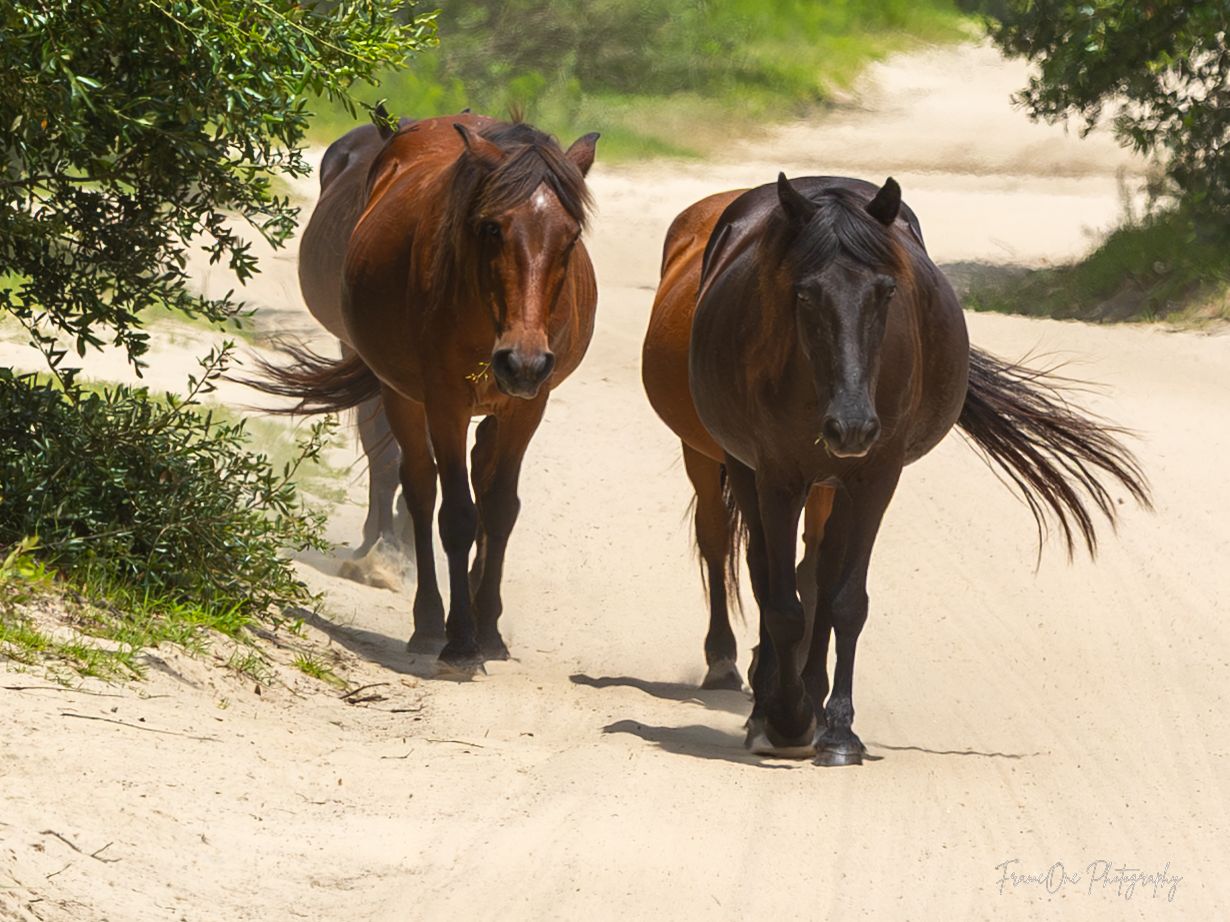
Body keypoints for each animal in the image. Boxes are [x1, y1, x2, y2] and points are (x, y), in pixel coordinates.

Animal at [250, 112, 600, 673]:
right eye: (491, 227)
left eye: (569, 239)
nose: (523, 361)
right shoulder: (444, 403)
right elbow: (455, 514)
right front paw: (460, 639)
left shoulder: (526, 407)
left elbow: (499, 509)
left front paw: (490, 629)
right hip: (401, 393)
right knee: (414, 482)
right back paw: (427, 618)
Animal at [687, 174, 1151, 764]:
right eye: (804, 293)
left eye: (886, 292)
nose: (852, 426)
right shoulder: (776, 477)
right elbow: (783, 605)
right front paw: (786, 719)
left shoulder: (876, 476)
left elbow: (846, 602)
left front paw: (837, 731)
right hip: (752, 472)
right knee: (766, 571)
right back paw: (772, 704)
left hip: (840, 482)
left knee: (823, 573)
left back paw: (812, 697)